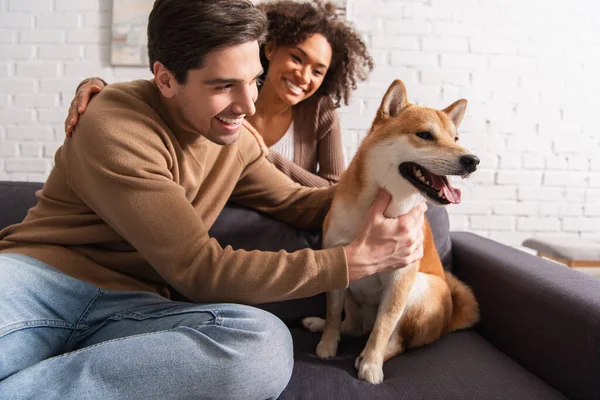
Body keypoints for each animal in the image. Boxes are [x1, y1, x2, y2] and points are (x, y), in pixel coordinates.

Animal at [302, 79, 480, 384]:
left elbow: (383, 328)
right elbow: (334, 312)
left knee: (395, 341)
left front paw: (371, 364)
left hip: (420, 286)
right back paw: (319, 324)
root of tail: (446, 324)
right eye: (425, 135)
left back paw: (367, 356)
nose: (472, 160)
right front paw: (327, 344)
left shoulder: (400, 278)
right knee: (354, 327)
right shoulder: (340, 263)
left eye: (455, 138)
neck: (378, 206)